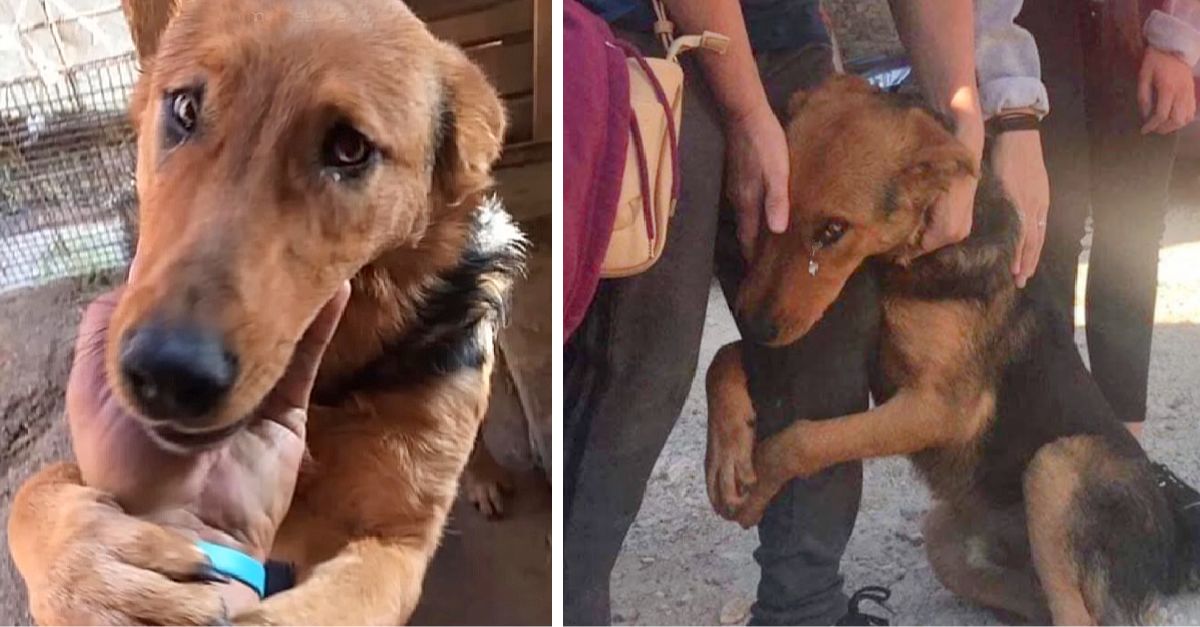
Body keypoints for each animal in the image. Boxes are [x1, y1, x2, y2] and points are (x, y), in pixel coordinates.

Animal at [7, 1, 525, 619]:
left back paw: (488, 475)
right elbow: (28, 498)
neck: (332, 383)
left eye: (349, 149)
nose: (167, 374)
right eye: (185, 108)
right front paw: (89, 572)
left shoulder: (397, 543)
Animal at [705, 75, 1195, 619]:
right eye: (769, 208)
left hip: (1055, 468)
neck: (911, 257)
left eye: (833, 230)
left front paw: (756, 488)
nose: (754, 322)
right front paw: (727, 455)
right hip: (944, 538)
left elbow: (805, 439)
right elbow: (721, 358)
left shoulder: (942, 408)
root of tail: (1172, 540)